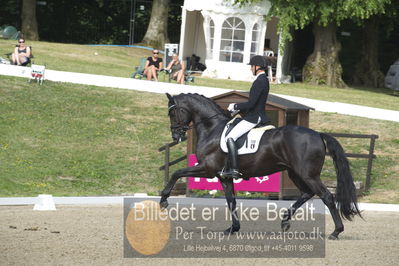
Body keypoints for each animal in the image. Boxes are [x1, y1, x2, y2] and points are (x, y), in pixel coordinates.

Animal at [160, 93, 362, 239]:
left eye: (173, 113)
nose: (176, 136)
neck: (213, 129)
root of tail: (318, 134)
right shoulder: (223, 176)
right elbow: (231, 201)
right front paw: (233, 229)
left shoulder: (207, 168)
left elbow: (177, 172)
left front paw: (163, 200)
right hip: (295, 173)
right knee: (307, 193)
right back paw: (285, 222)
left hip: (308, 174)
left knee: (327, 196)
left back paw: (336, 232)